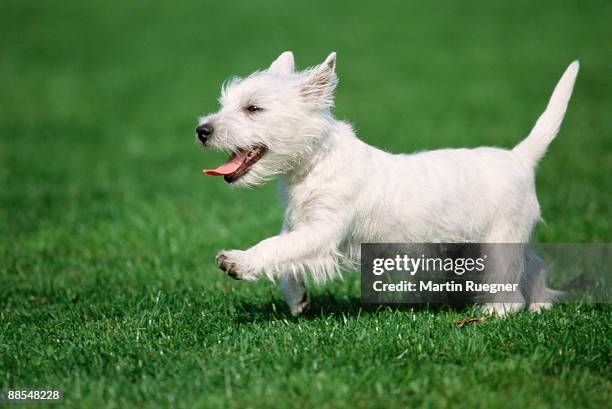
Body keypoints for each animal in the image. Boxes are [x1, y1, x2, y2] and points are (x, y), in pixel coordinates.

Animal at [196, 51, 580, 316]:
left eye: (253, 108)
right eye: (225, 104)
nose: (202, 130)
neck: (314, 164)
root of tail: (520, 158)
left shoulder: (323, 231)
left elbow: (273, 247)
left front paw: (237, 261)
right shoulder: (298, 226)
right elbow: (284, 256)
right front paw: (298, 301)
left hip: (497, 243)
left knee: (511, 286)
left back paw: (494, 313)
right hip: (486, 243)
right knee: (534, 265)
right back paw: (540, 304)